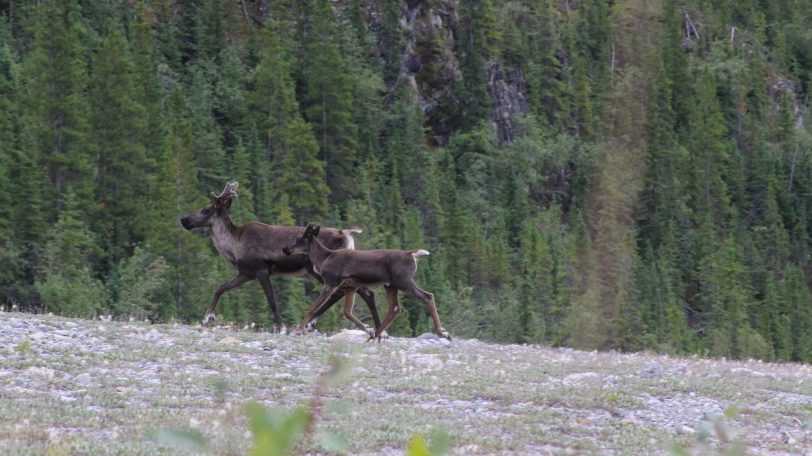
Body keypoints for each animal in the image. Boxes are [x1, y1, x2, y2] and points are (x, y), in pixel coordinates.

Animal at [179, 182, 381, 335]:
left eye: (205, 210)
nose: (183, 220)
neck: (233, 245)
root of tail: (347, 233)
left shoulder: (260, 270)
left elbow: (272, 301)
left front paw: (282, 327)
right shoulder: (245, 273)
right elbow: (220, 288)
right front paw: (207, 318)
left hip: (321, 270)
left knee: (357, 292)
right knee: (349, 292)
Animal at [282, 223, 451, 341]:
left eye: (298, 239)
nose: (285, 249)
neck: (323, 258)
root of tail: (412, 254)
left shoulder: (330, 282)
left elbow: (312, 308)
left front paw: (297, 330)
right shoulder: (350, 287)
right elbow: (347, 312)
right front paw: (368, 328)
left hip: (404, 281)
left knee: (427, 296)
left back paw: (442, 332)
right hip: (391, 285)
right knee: (395, 308)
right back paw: (375, 335)